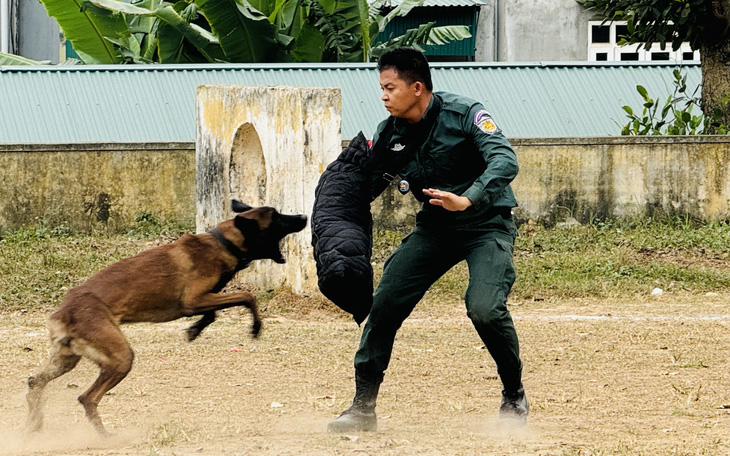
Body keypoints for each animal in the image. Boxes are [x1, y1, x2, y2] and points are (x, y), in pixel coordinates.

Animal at [27, 200, 306, 434]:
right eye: (277, 217)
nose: (303, 215)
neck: (222, 243)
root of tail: (63, 312)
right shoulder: (194, 300)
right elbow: (247, 297)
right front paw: (255, 328)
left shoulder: (201, 300)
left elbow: (213, 313)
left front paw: (194, 330)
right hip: (120, 357)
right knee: (87, 398)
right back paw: (103, 436)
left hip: (67, 359)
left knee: (33, 383)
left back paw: (34, 425)